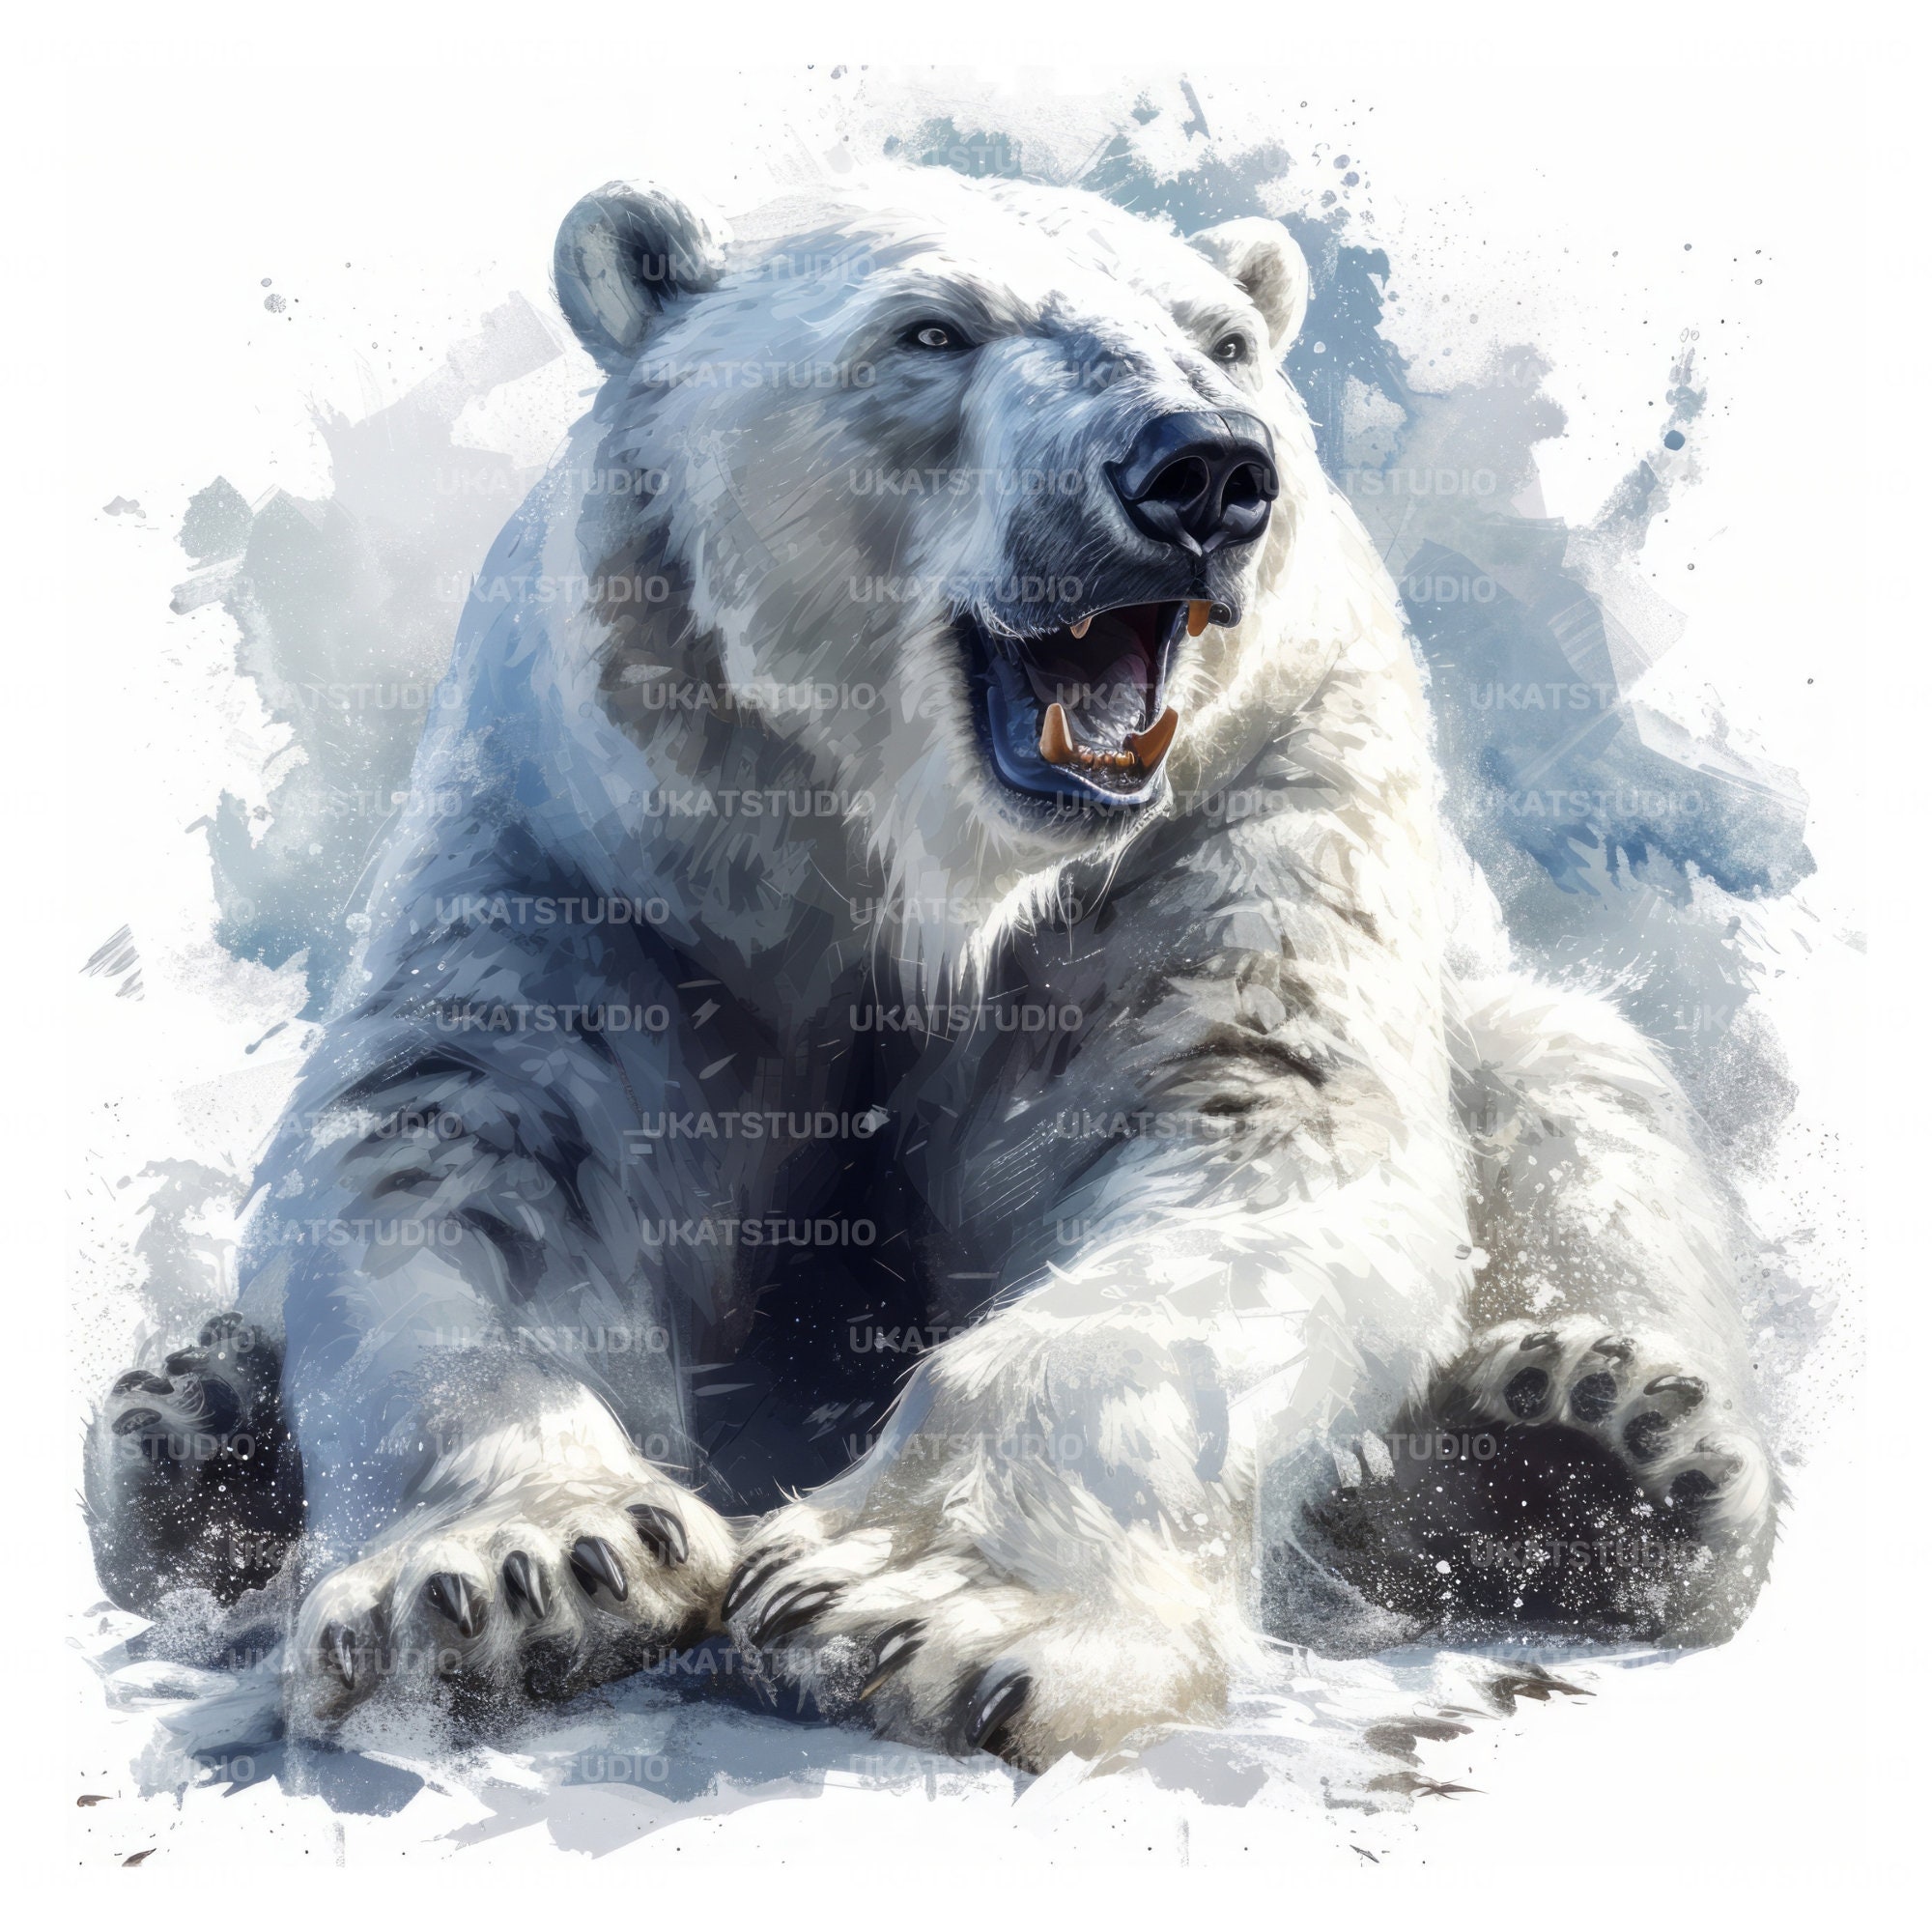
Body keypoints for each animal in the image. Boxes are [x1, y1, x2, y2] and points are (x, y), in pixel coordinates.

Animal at [86, 166, 1777, 1770]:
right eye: (932, 331)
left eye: (1225, 341)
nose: (1205, 470)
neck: (920, 862)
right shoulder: (596, 833)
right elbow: (474, 1142)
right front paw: (516, 1578)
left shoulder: (1240, 800)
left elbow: (1245, 1132)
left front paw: (915, 1609)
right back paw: (194, 1434)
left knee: (1583, 1100)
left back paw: (1592, 1449)